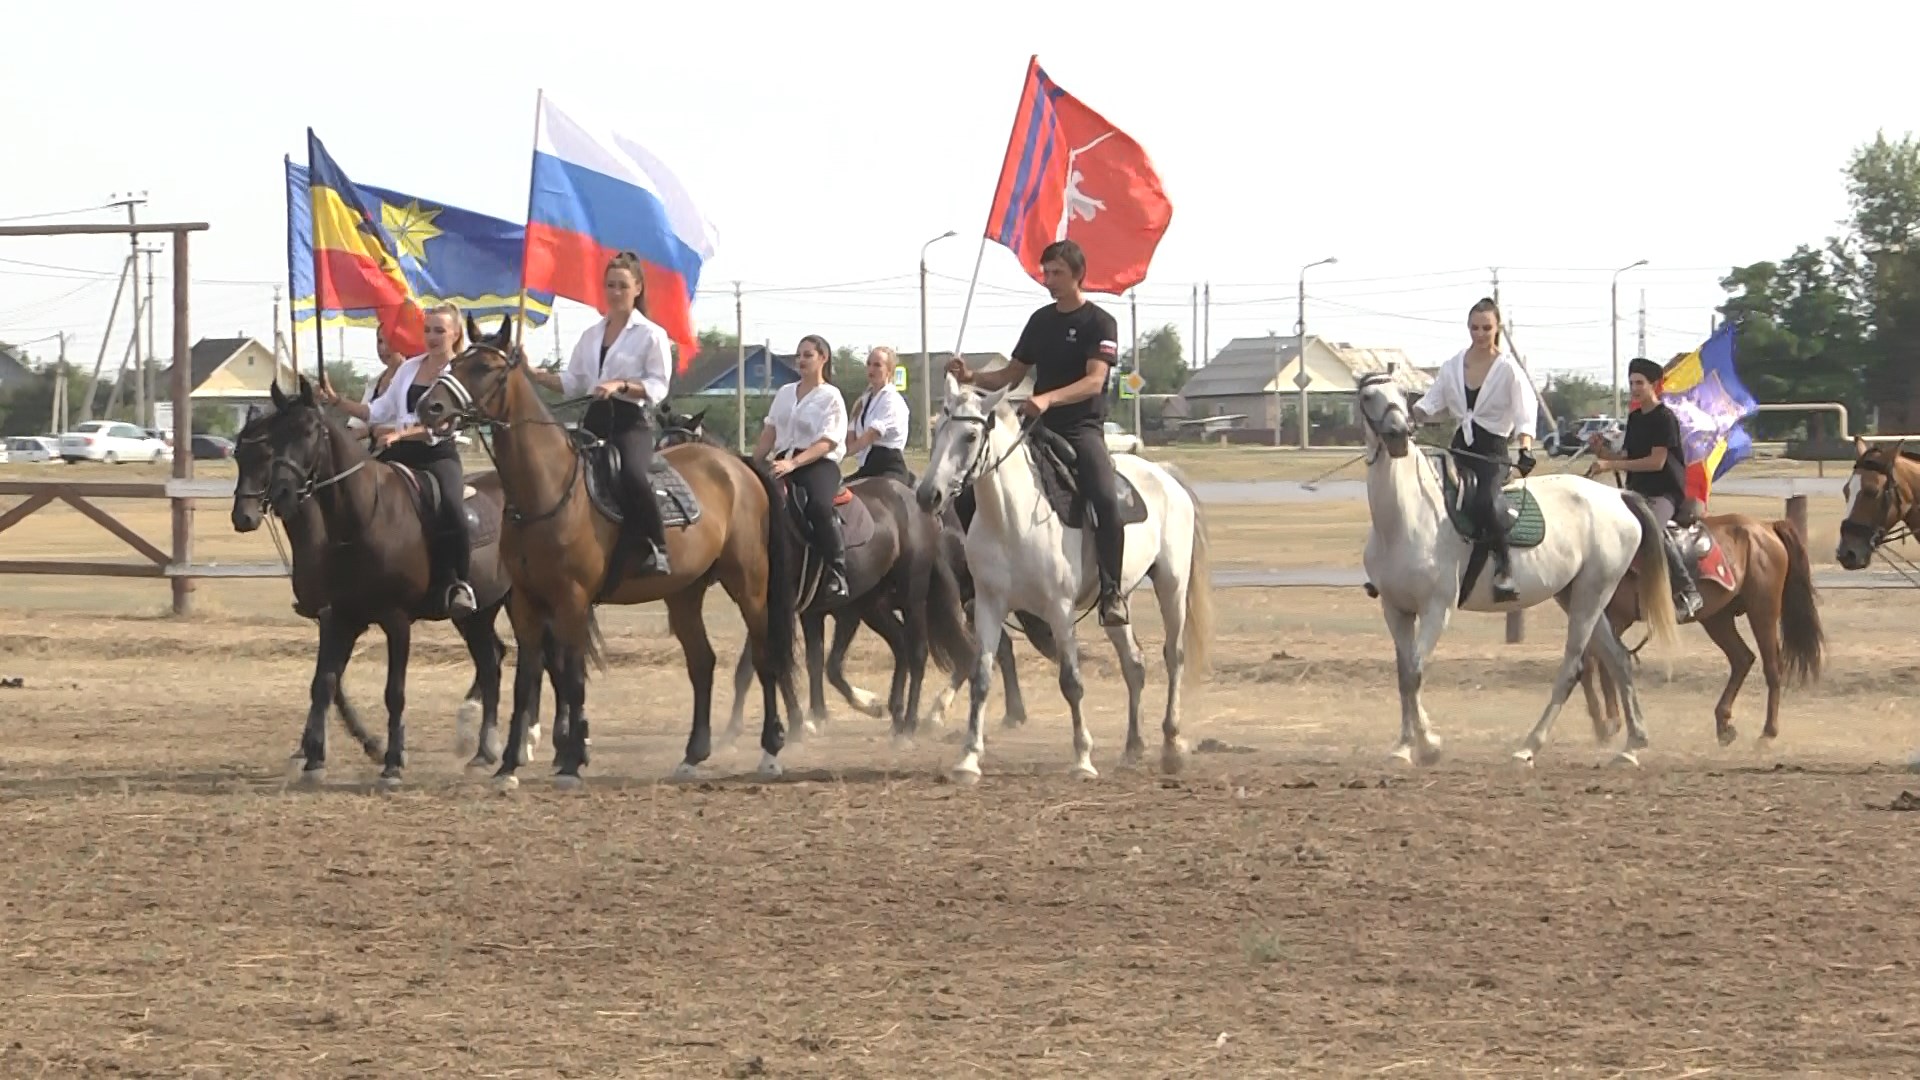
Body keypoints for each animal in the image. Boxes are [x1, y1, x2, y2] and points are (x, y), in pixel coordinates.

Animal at [416, 315, 798, 787]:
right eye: (453, 361)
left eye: (485, 367)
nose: (429, 407)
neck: (549, 491)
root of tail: (737, 466)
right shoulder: (525, 603)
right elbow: (527, 678)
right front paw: (509, 764)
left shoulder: (573, 600)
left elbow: (573, 676)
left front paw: (571, 761)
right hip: (684, 592)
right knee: (702, 662)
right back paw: (693, 755)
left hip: (749, 583)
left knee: (764, 656)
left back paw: (770, 750)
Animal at [913, 376, 1213, 780]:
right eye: (939, 428)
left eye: (970, 436)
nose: (928, 494)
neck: (1011, 518)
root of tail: (1165, 475)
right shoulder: (989, 605)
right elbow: (982, 677)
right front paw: (968, 759)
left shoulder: (1059, 608)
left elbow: (1071, 681)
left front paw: (1083, 758)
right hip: (1117, 601)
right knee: (1134, 663)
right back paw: (1133, 747)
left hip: (1172, 585)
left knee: (1173, 656)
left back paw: (1170, 745)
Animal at [1351, 368, 1681, 764]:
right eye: (1368, 397)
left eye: (1402, 394)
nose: (1398, 435)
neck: (1407, 517)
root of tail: (1618, 495)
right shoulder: (1396, 609)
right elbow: (1403, 674)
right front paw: (1403, 746)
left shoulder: (1436, 609)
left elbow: (1415, 671)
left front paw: (1429, 745)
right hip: (1576, 596)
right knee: (1618, 660)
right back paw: (1632, 746)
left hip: (1591, 595)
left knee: (1574, 668)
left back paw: (1529, 747)